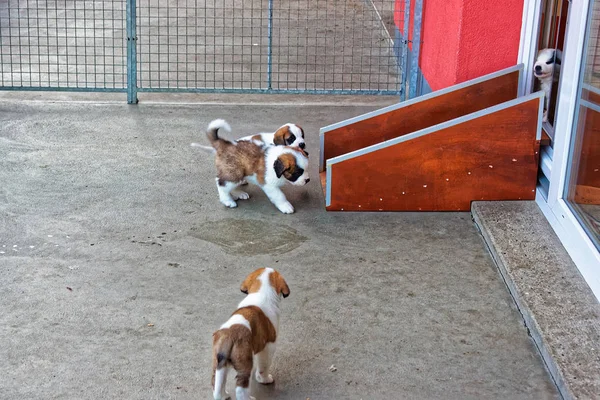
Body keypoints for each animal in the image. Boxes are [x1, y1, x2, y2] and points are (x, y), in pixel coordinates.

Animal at [211, 268, 290, 400]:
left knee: (216, 383)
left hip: (219, 363)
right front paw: (264, 379)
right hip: (244, 363)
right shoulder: (269, 347)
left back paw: (224, 395)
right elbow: (264, 365)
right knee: (240, 388)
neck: (261, 291)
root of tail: (230, 337)